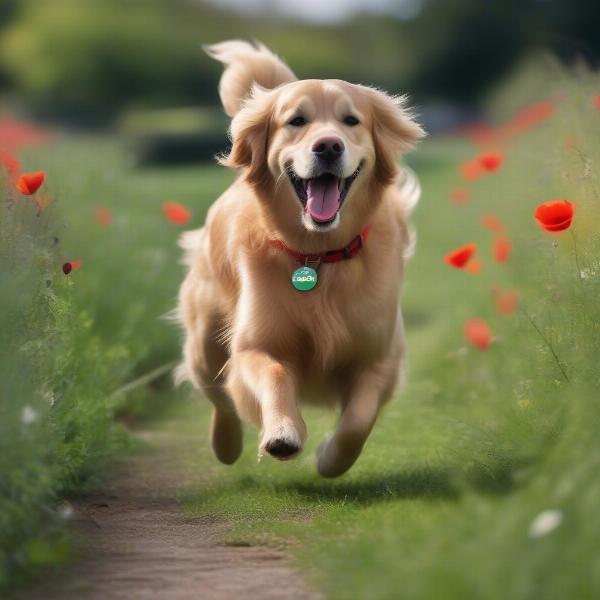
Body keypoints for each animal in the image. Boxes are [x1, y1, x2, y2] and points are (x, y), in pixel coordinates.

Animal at [176, 38, 424, 478]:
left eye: (351, 120)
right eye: (296, 121)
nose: (328, 146)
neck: (319, 255)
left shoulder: (379, 356)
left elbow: (358, 420)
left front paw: (329, 458)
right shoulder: (256, 345)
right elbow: (273, 374)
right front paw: (283, 434)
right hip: (205, 337)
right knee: (218, 394)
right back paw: (226, 445)